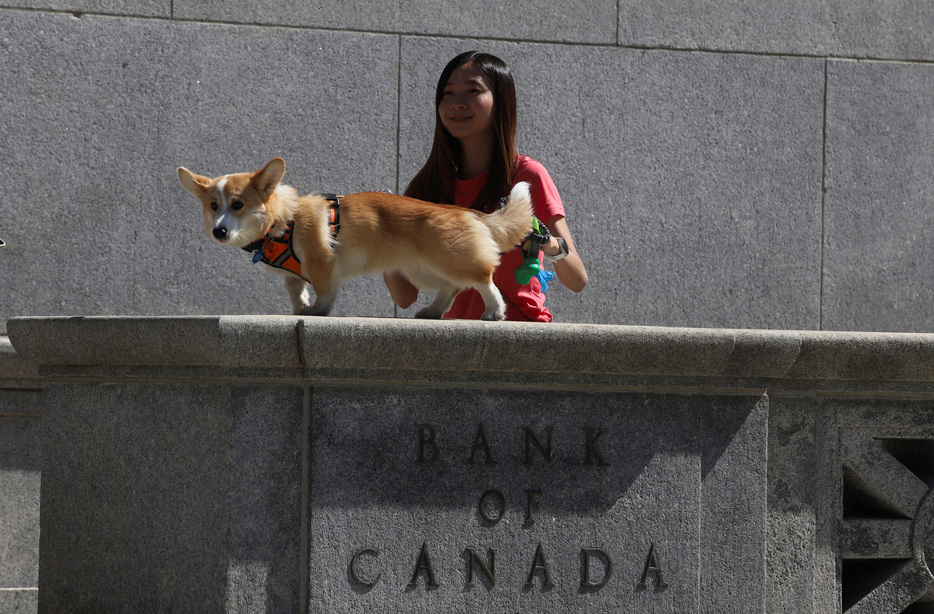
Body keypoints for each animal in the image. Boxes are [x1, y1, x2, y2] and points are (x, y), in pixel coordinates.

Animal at [177, 159, 532, 320]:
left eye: (237, 205)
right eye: (213, 206)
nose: (218, 231)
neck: (283, 219)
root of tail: (469, 212)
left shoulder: (321, 262)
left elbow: (323, 291)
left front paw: (318, 311)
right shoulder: (294, 276)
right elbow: (295, 290)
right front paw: (300, 309)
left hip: (450, 260)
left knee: (483, 278)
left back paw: (494, 311)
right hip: (422, 270)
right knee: (452, 288)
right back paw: (432, 311)